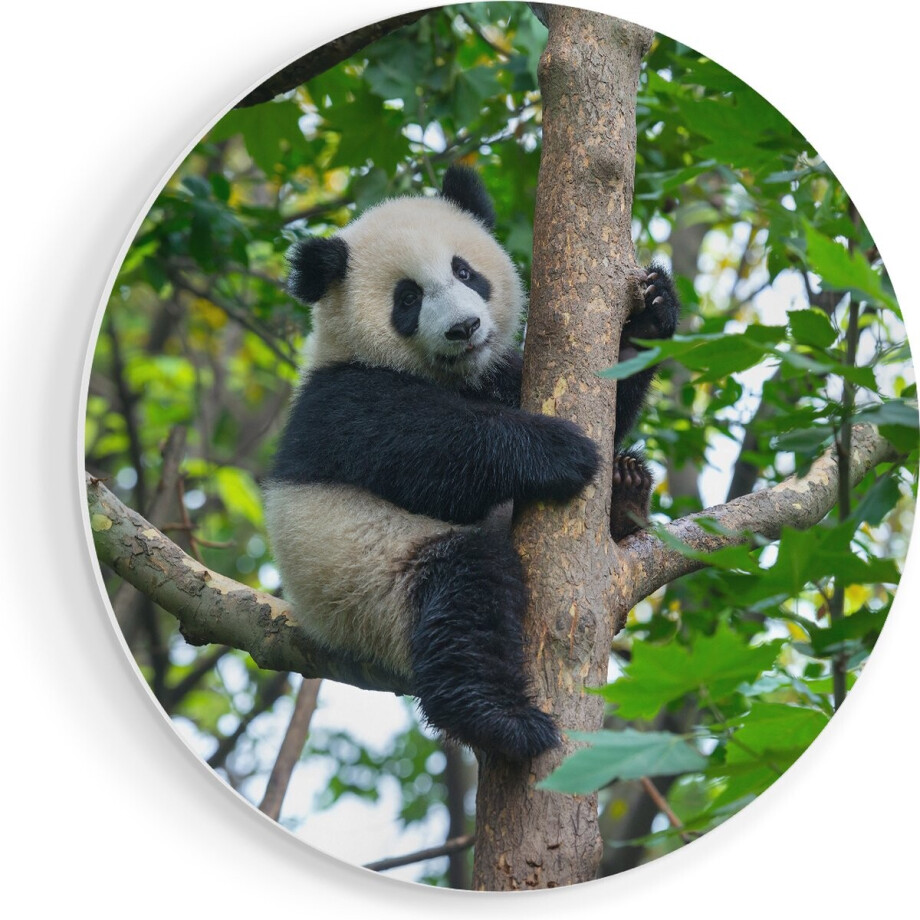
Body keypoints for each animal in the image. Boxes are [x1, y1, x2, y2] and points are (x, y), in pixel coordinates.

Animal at [263, 166, 679, 761]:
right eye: (408, 298)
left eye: (465, 271)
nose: (463, 328)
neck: (450, 375)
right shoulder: (343, 400)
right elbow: (431, 455)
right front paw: (560, 451)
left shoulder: (498, 375)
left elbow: (609, 395)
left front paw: (650, 311)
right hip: (369, 583)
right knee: (464, 595)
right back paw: (501, 719)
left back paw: (626, 493)